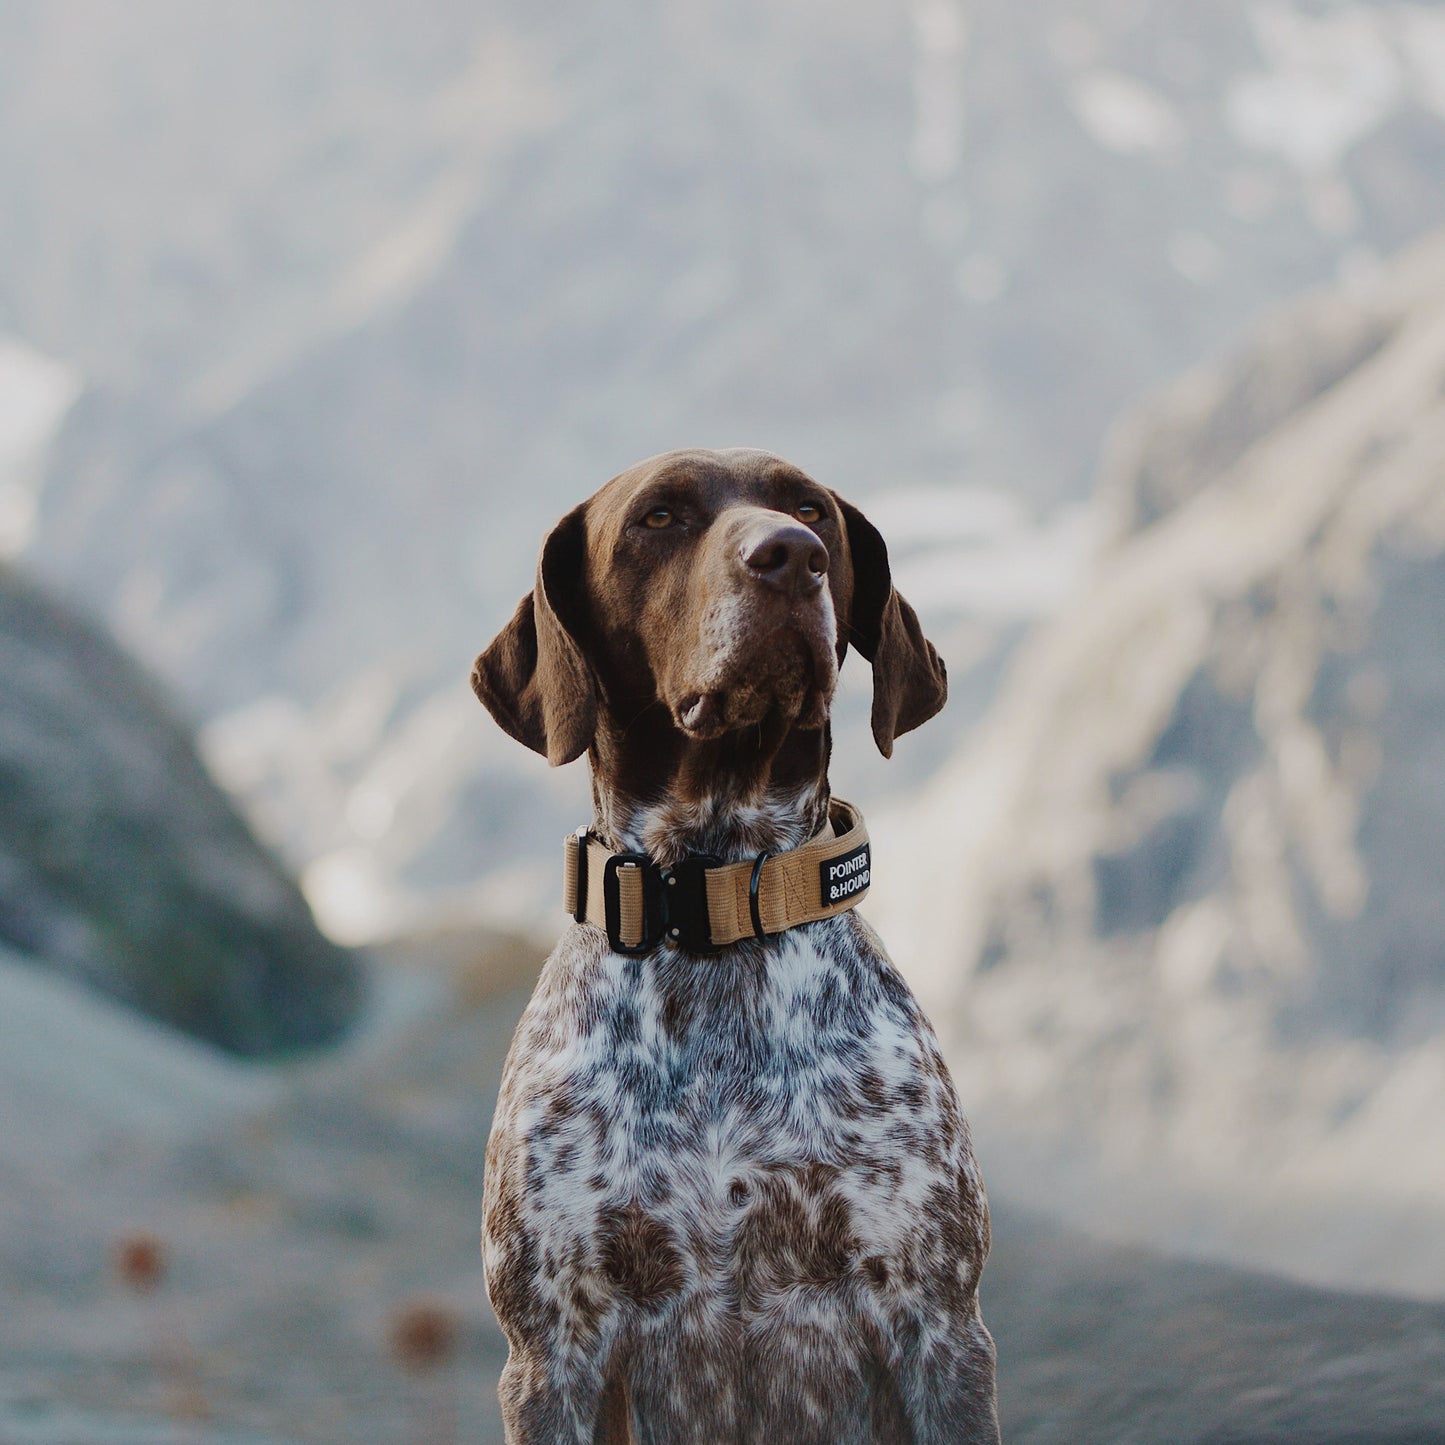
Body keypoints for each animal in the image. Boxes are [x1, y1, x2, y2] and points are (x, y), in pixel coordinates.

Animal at [468, 445, 999, 1439]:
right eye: (658, 517)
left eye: (811, 508)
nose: (791, 557)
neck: (712, 900)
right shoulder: (553, 1348)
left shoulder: (936, 1320)